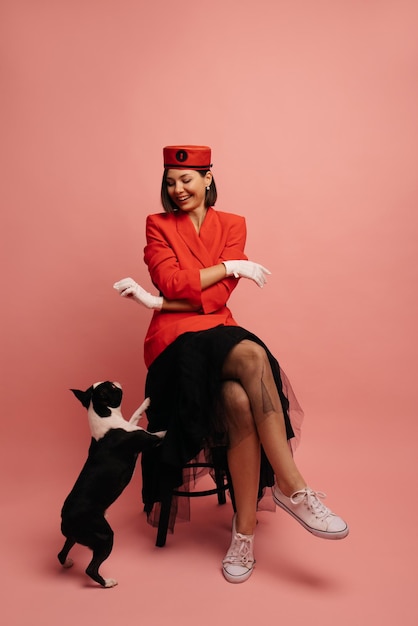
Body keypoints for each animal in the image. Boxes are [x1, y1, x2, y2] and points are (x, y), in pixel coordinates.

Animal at [58, 378, 162, 588]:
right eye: (112, 388)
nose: (115, 381)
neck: (104, 416)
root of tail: (65, 519)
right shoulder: (148, 439)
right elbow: (162, 433)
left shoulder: (130, 425)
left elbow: (134, 415)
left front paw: (145, 403)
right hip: (104, 536)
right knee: (91, 568)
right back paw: (107, 582)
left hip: (76, 536)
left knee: (61, 553)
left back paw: (67, 563)